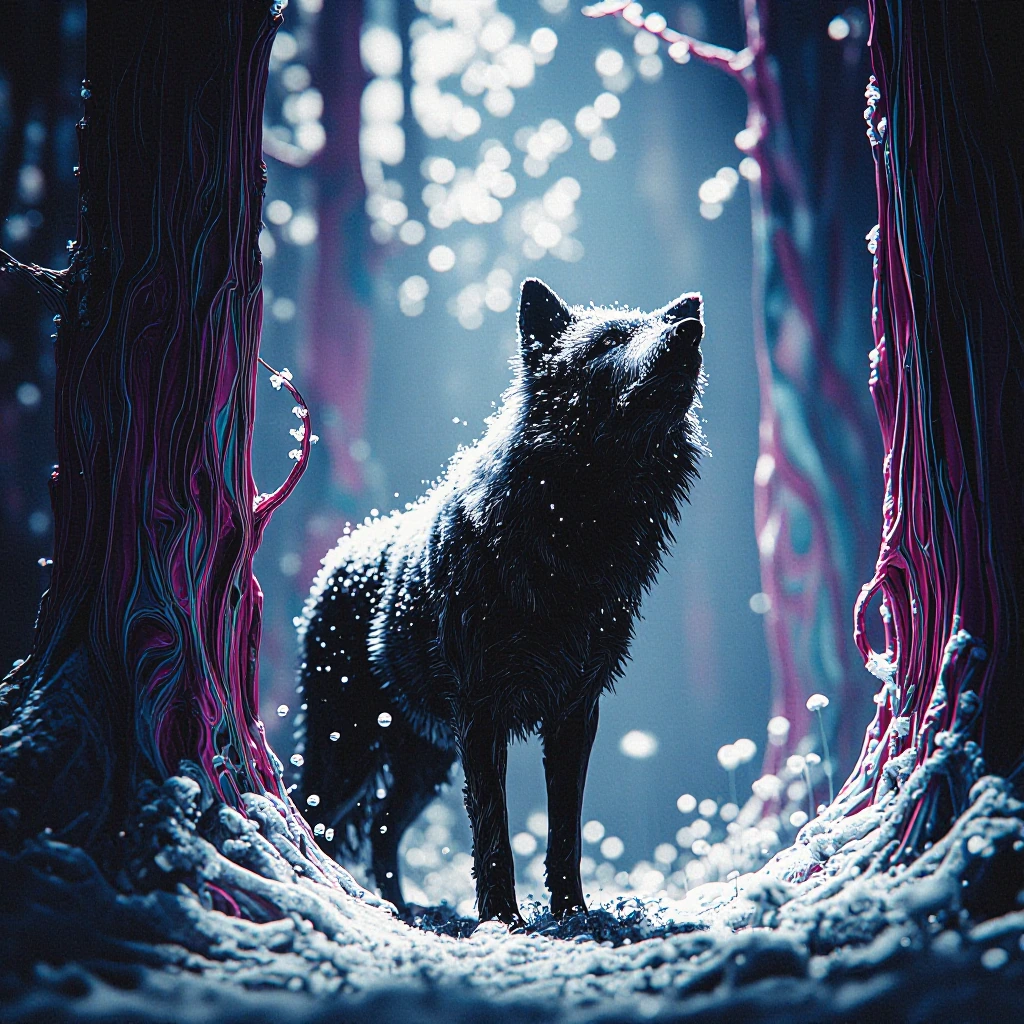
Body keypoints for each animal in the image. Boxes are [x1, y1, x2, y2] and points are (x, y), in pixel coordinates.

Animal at [295, 278, 705, 925]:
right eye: (608, 341)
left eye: (657, 326)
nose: (691, 330)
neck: (577, 536)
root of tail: (340, 556)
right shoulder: (483, 715)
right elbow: (493, 835)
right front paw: (503, 921)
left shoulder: (574, 712)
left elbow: (566, 832)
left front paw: (571, 915)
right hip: (349, 749)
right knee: (310, 811)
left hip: (424, 760)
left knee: (383, 826)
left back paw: (404, 910)